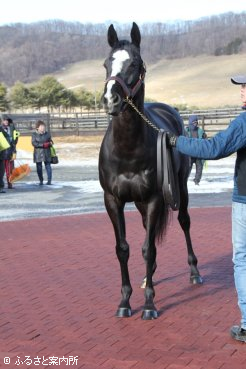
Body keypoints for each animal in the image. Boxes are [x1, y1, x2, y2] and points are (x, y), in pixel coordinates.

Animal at [98, 22, 202, 320]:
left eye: (135, 63)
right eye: (106, 63)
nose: (111, 99)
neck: (127, 149)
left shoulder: (156, 198)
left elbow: (149, 249)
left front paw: (149, 305)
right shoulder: (113, 200)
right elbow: (123, 248)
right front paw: (125, 301)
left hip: (179, 188)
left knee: (184, 223)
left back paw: (194, 272)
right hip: (142, 203)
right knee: (148, 230)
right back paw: (148, 278)